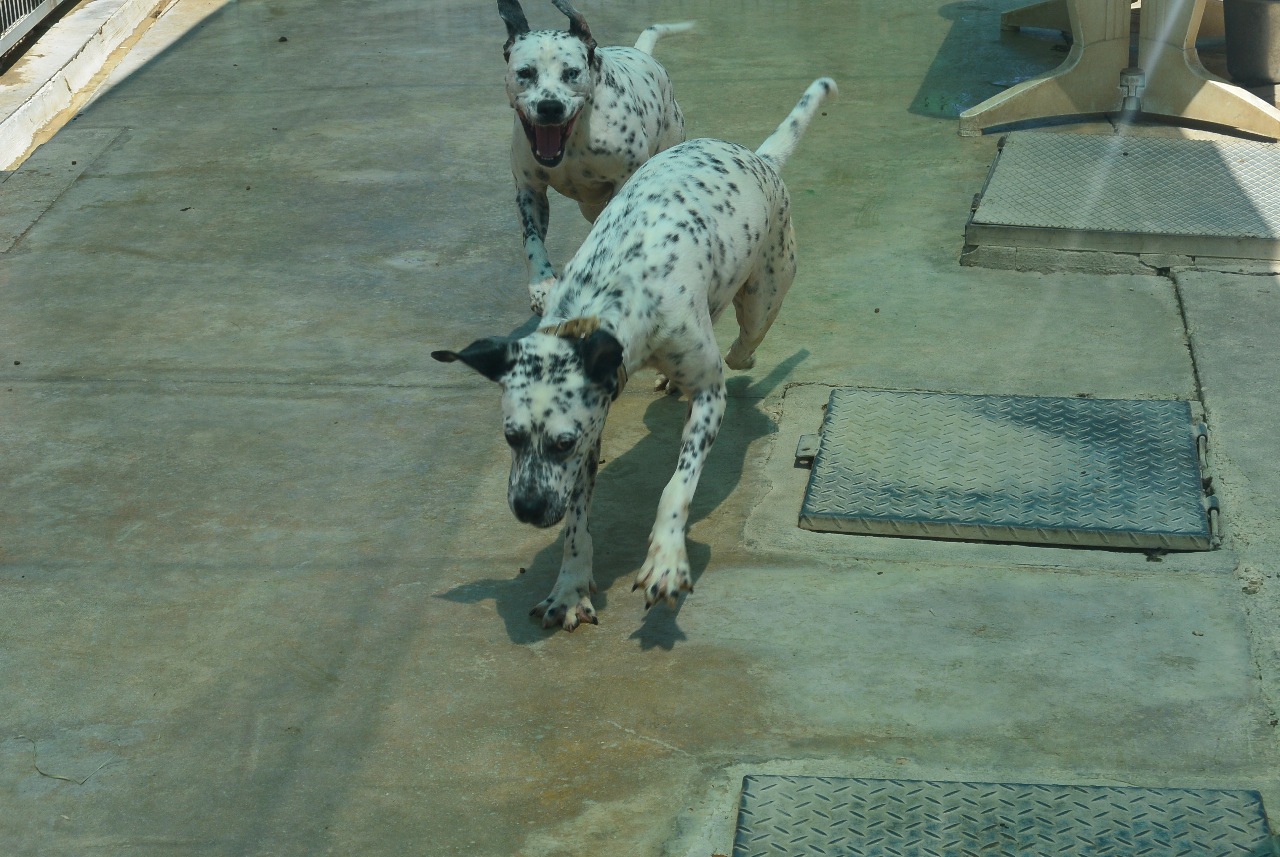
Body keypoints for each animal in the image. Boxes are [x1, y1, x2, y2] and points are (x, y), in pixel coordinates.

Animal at [435, 78, 836, 631]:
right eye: (510, 437)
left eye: (561, 443)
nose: (527, 508)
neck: (616, 288)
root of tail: (758, 157)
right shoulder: (593, 429)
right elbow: (577, 523)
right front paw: (570, 586)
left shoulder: (707, 397)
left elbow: (677, 487)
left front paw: (666, 559)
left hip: (764, 295)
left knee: (745, 343)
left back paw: (740, 354)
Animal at [497, 0, 692, 315]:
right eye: (525, 72)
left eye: (571, 72)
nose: (549, 106)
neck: (574, 139)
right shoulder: (529, 191)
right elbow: (532, 239)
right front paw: (542, 285)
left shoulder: (624, 181)